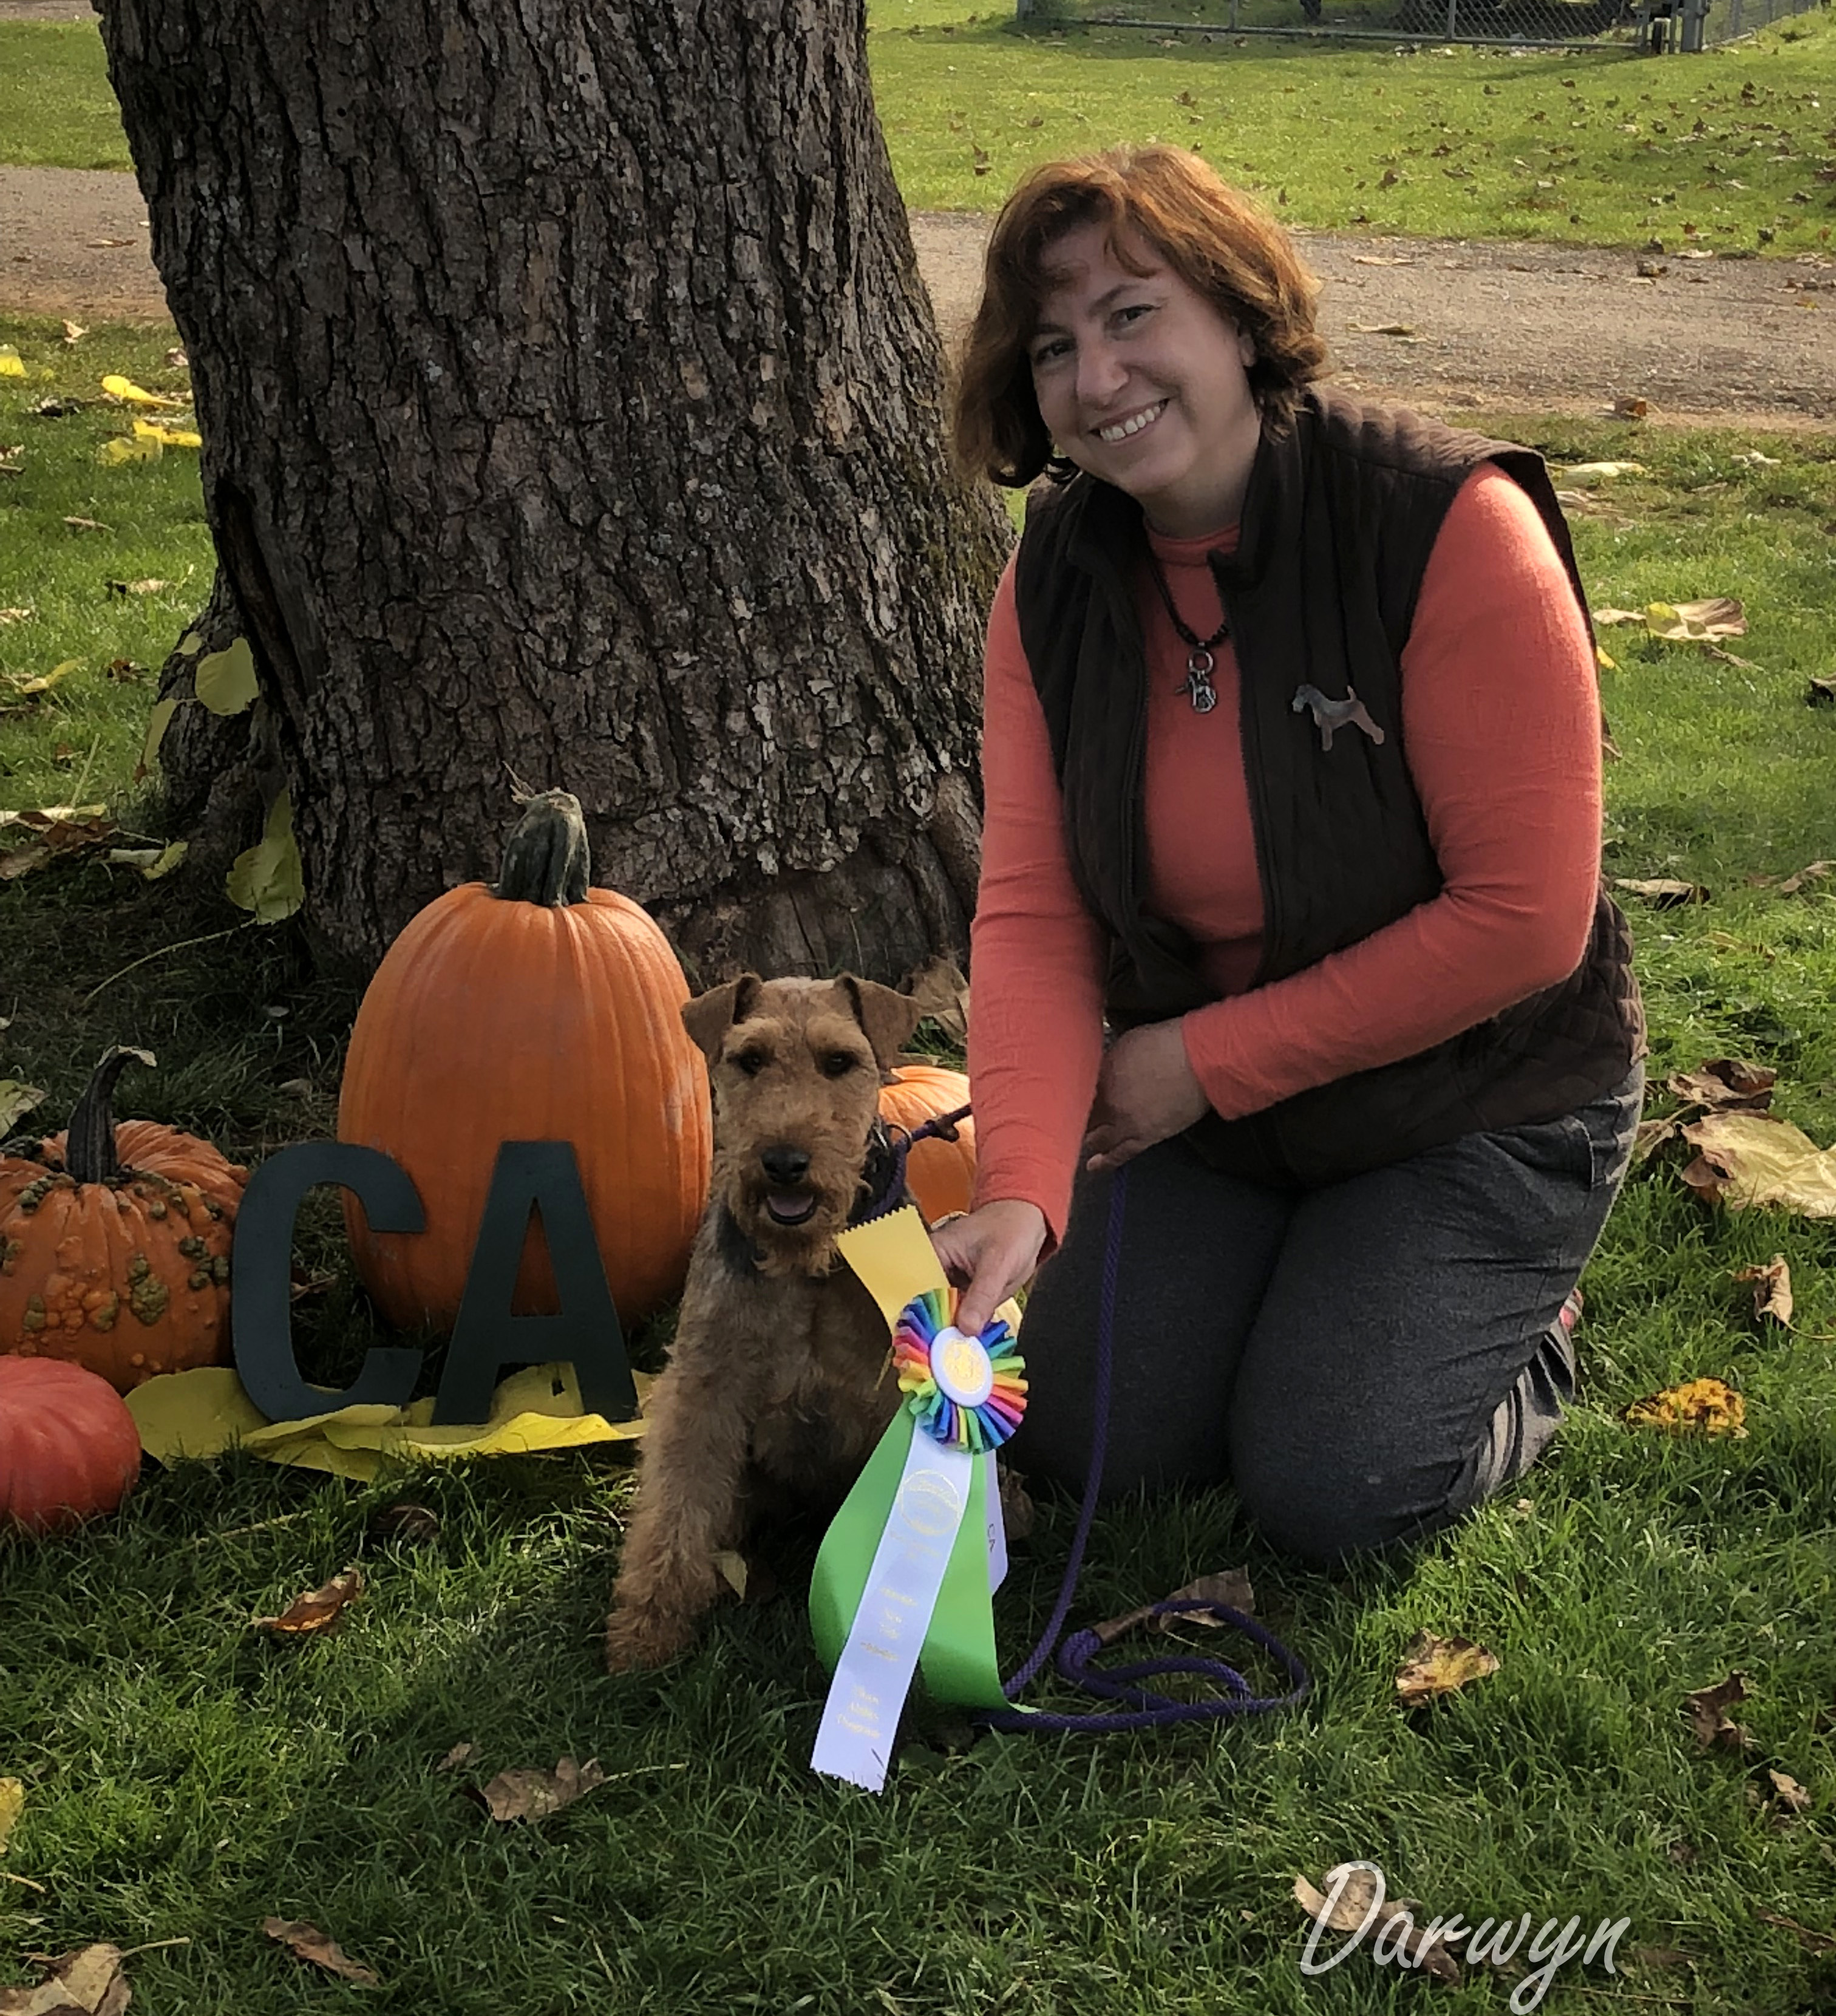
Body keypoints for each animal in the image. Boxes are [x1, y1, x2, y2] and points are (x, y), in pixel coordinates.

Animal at [608, 972, 926, 1669]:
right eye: (749, 1059)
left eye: (840, 1061)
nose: (784, 1162)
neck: (807, 1264)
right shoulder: (704, 1388)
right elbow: (675, 1508)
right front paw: (647, 1631)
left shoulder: (892, 1398)